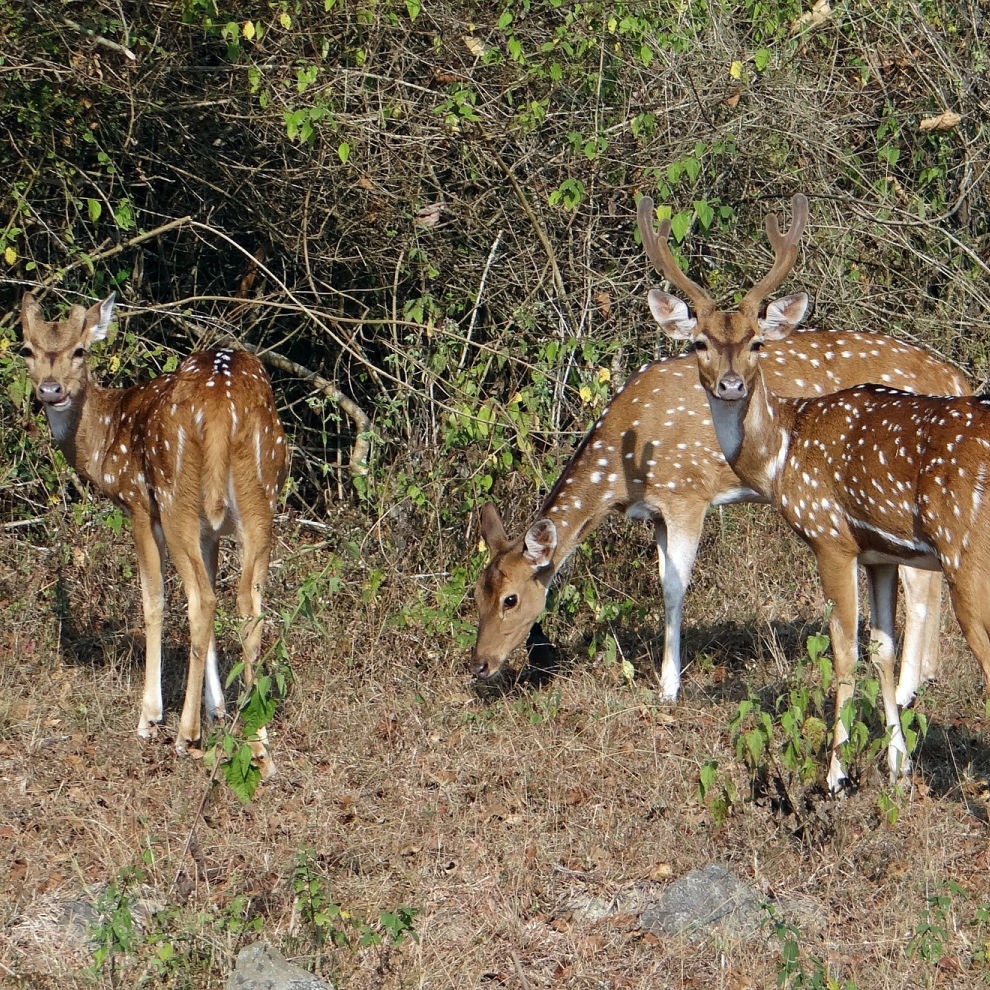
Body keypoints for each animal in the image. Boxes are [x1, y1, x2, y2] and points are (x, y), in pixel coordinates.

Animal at [19, 290, 288, 780]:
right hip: (261, 495)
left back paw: (186, 735)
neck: (102, 445)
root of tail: (221, 408)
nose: (51, 390)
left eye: (79, 351)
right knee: (247, 605)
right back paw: (258, 745)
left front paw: (150, 716)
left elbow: (154, 600)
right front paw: (217, 706)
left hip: (174, 494)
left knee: (201, 599)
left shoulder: (138, 504)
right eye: (27, 350)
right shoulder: (210, 530)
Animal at [470, 211, 968, 736]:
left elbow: (673, 587)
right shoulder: (657, 512)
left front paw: (669, 688)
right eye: (476, 594)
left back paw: (910, 691)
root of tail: (957, 378)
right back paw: (922, 681)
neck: (623, 469)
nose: (478, 664)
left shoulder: (687, 492)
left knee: (920, 584)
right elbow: (663, 578)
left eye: (511, 599)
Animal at [644, 194, 990, 796]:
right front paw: (898, 765)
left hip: (967, 553)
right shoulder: (878, 552)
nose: (731, 384)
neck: (783, 451)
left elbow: (844, 651)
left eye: (757, 340)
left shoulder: (830, 537)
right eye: (700, 342)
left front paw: (836, 773)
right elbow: (881, 647)